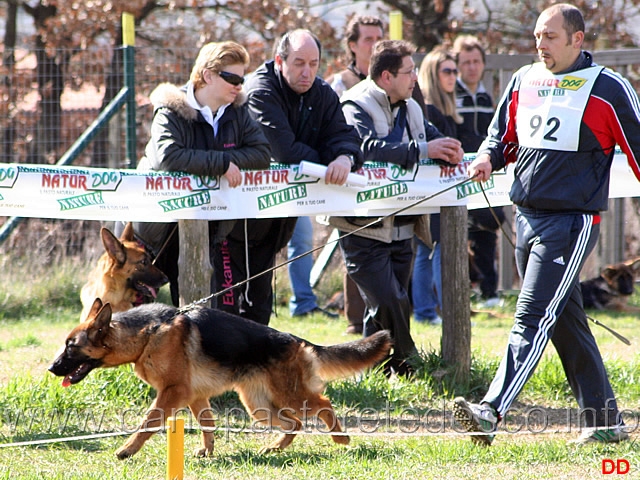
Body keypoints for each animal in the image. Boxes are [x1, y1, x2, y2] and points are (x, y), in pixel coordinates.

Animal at [48, 298, 390, 460]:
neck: (147, 333)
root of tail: (296, 340)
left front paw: (127, 450)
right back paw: (275, 448)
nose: (52, 368)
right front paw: (208, 452)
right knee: (295, 423)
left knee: (323, 403)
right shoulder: (194, 396)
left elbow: (148, 423)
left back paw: (340, 438)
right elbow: (207, 425)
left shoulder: (172, 393)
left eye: (71, 346)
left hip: (291, 396)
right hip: (258, 405)